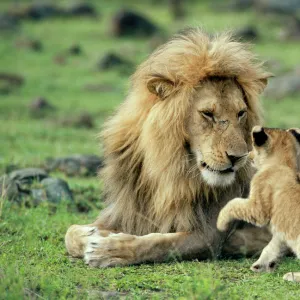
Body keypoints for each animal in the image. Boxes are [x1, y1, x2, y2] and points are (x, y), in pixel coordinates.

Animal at [65, 28, 272, 268]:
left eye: (241, 113)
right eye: (207, 114)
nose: (238, 157)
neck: (167, 171)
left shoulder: (208, 236)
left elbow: (158, 242)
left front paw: (110, 250)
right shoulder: (124, 211)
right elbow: (69, 233)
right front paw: (91, 234)